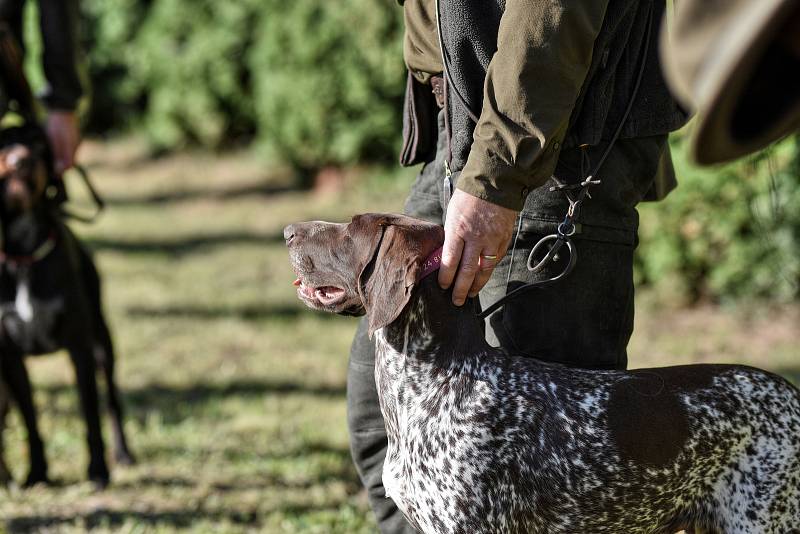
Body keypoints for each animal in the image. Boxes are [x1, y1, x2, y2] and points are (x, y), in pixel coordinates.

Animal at [0, 126, 134, 490]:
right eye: (2, 142)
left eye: (38, 143)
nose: (20, 160)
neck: (23, 255)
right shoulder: (11, 358)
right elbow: (30, 419)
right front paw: (37, 473)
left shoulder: (79, 347)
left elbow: (91, 416)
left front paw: (98, 470)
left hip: (103, 341)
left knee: (112, 402)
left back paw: (124, 454)